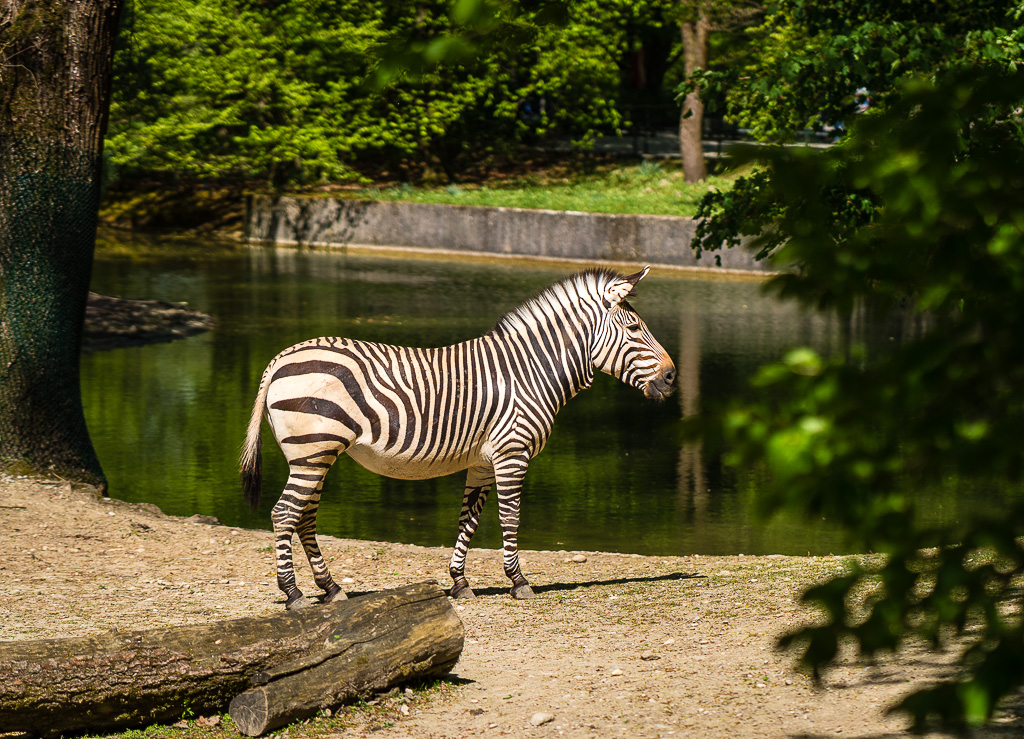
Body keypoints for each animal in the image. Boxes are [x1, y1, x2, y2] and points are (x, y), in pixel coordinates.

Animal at [240, 266, 675, 608]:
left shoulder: (483, 462)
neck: (530, 371)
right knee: (284, 514)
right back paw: (293, 594)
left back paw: (330, 589)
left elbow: (469, 519)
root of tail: (281, 358)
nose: (672, 377)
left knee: (304, 517)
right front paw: (519, 582)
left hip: (315, 455)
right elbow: (510, 517)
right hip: (312, 452)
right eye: (634, 328)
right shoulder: (512, 453)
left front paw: (460, 582)